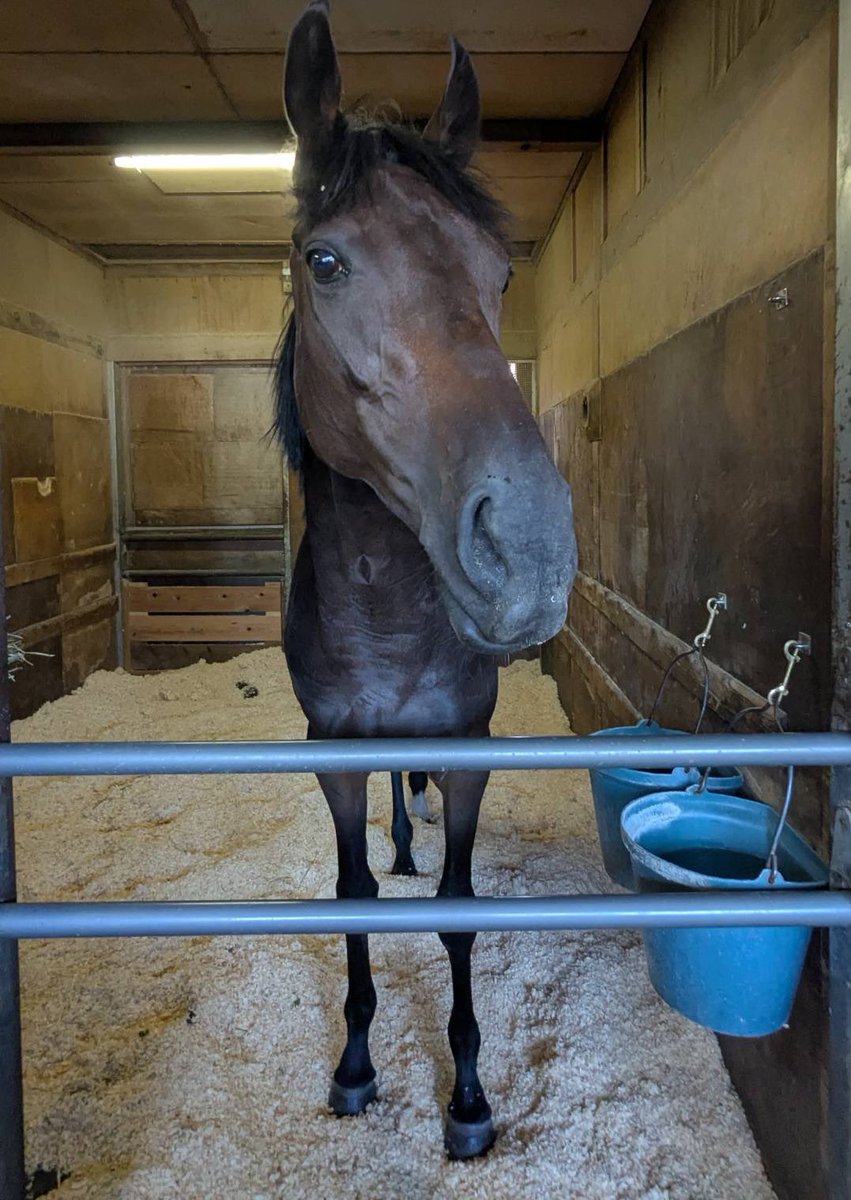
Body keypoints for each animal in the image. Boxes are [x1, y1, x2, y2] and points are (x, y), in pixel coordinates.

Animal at [276, 0, 578, 1158]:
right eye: (323, 260)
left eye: (499, 272)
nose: (530, 549)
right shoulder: (332, 755)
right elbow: (356, 893)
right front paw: (357, 1063)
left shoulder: (465, 751)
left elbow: (455, 906)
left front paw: (468, 1095)